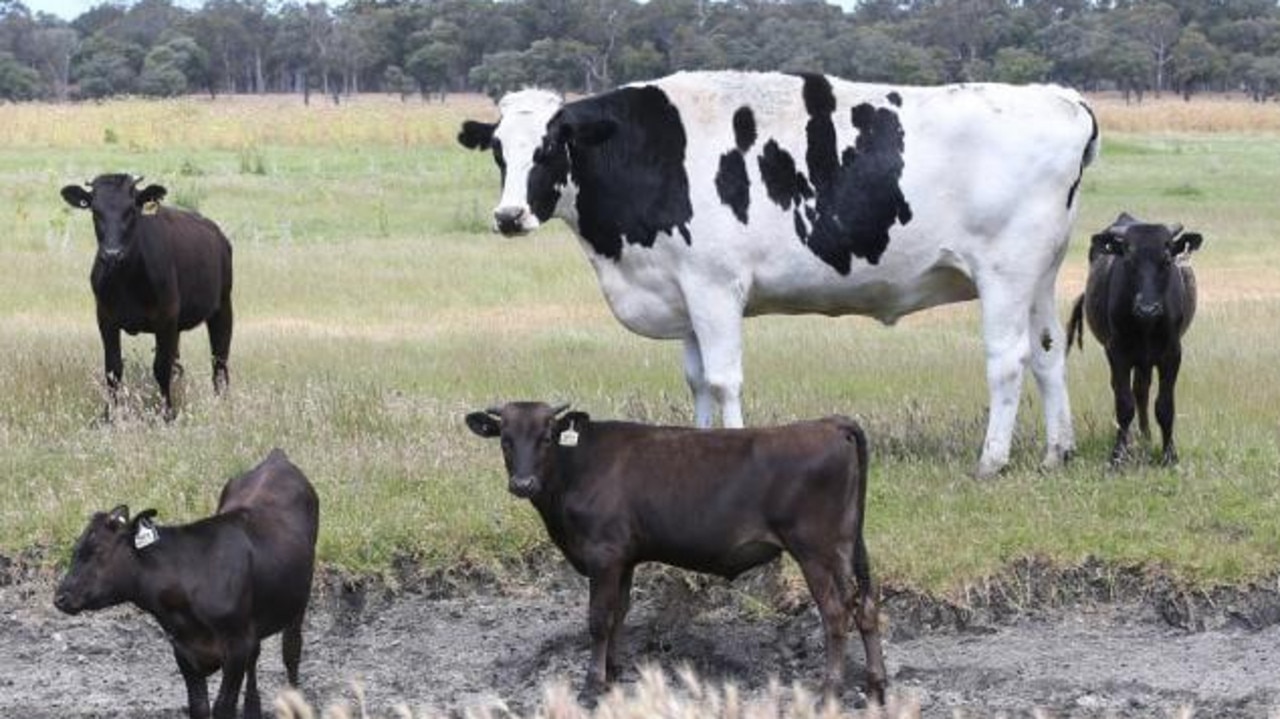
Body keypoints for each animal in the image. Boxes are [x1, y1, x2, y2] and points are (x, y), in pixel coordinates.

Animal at [465, 399, 885, 701]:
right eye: (505, 438)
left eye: (547, 437)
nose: (523, 483)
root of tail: (830, 423)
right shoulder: (624, 558)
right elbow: (619, 614)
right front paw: (613, 673)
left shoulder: (603, 554)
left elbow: (599, 619)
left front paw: (592, 685)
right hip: (845, 545)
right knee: (865, 606)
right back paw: (877, 686)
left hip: (815, 549)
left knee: (836, 613)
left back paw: (829, 691)